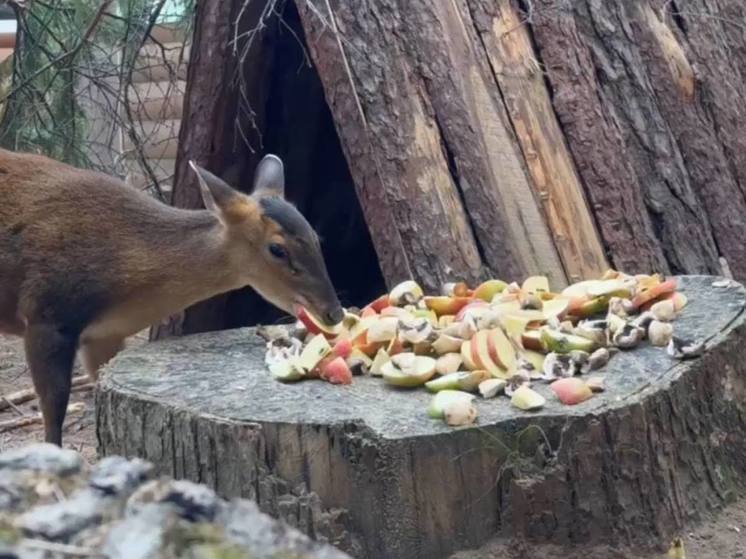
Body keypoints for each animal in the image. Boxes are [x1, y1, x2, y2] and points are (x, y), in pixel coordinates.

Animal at [0, 148, 342, 446]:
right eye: (277, 249)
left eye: (316, 237)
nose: (334, 312)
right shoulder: (47, 312)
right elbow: (54, 412)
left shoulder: (104, 337)